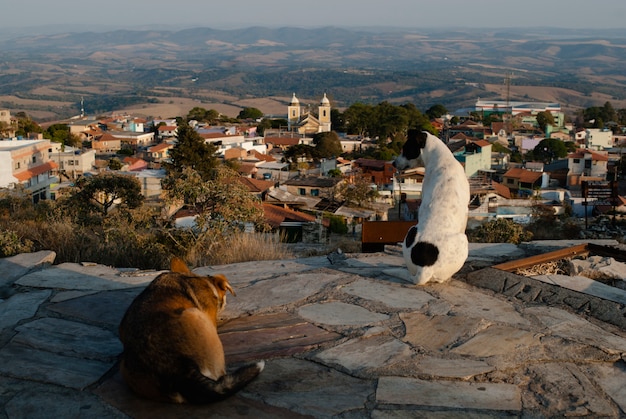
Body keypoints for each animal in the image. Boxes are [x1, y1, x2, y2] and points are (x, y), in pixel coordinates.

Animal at [392, 130, 466, 284]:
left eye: (406, 149)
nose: (393, 163)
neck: (442, 159)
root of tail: (424, 269)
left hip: (410, 232)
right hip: (463, 240)